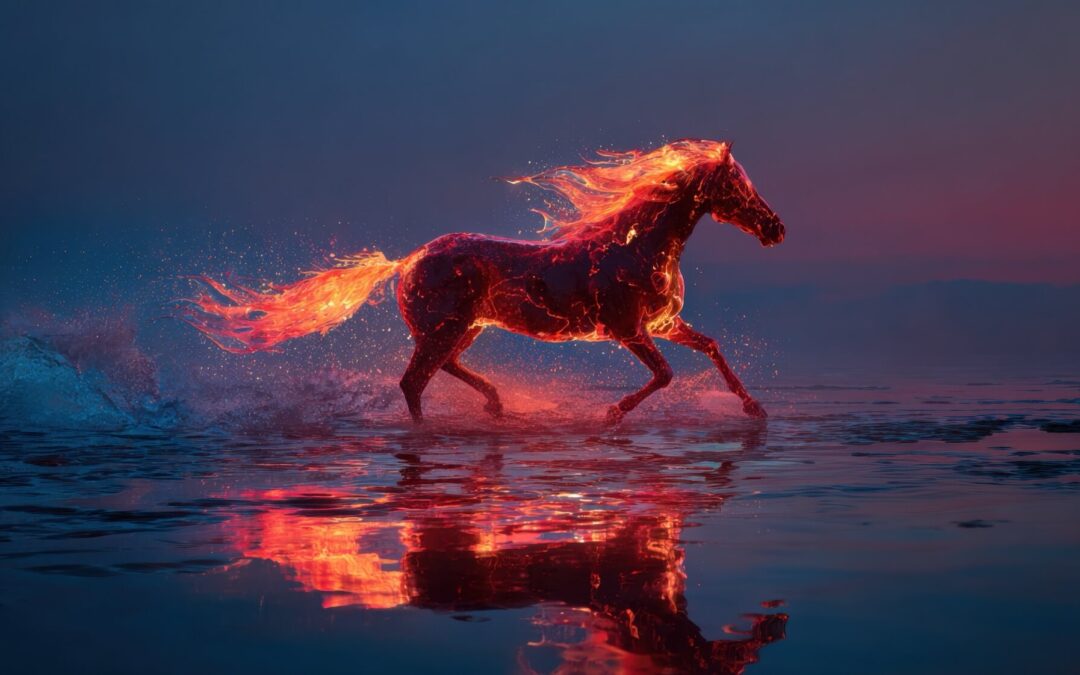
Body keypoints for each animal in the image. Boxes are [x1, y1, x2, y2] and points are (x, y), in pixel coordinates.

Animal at [183, 139, 785, 423]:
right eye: (738, 184)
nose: (776, 229)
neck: (638, 246)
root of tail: (405, 261)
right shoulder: (628, 330)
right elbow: (664, 376)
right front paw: (611, 414)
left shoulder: (663, 323)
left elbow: (711, 348)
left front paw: (754, 410)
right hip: (445, 329)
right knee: (413, 382)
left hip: (466, 328)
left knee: (441, 369)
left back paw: (496, 406)